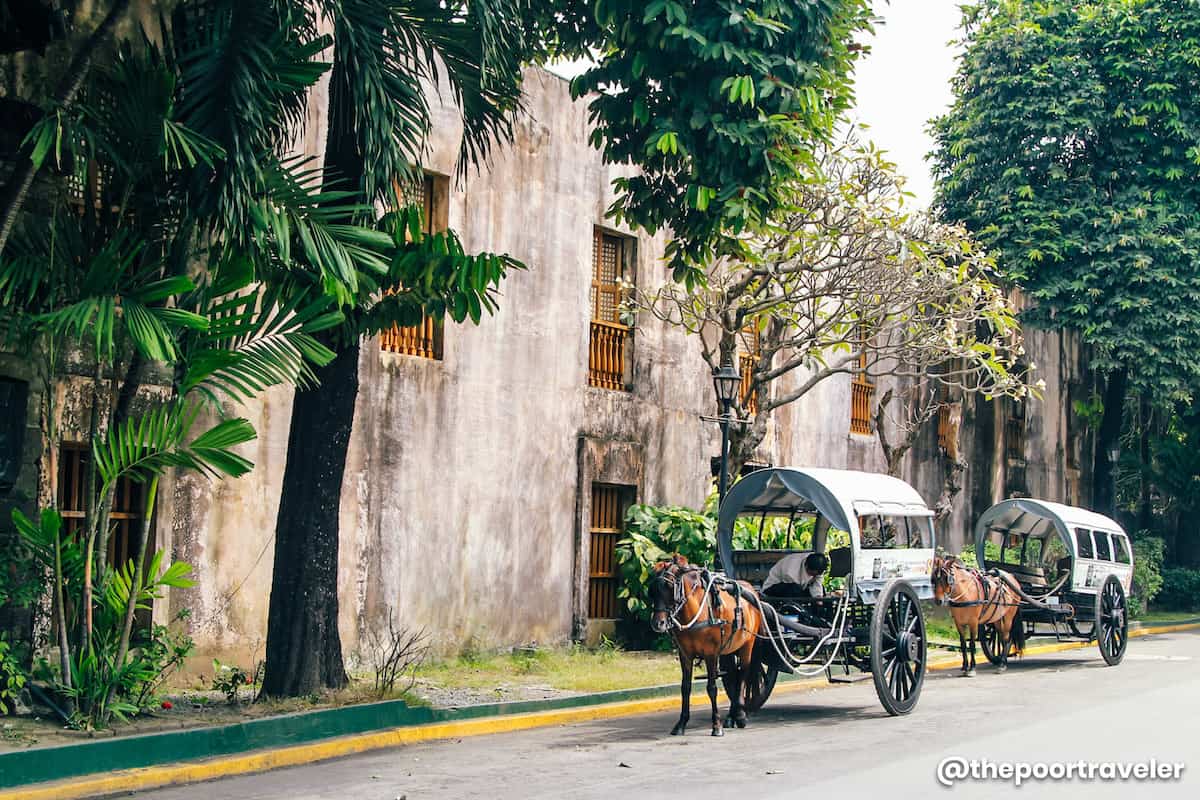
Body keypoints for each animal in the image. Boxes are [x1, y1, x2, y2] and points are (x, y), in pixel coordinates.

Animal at [652, 556, 763, 738]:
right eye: (652, 590)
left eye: (669, 587)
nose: (658, 623)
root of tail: (751, 590)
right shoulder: (685, 655)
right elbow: (685, 687)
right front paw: (681, 723)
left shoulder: (711, 654)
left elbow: (712, 688)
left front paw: (716, 725)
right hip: (729, 650)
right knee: (734, 676)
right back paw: (731, 716)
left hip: (747, 645)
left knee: (743, 675)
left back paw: (740, 715)